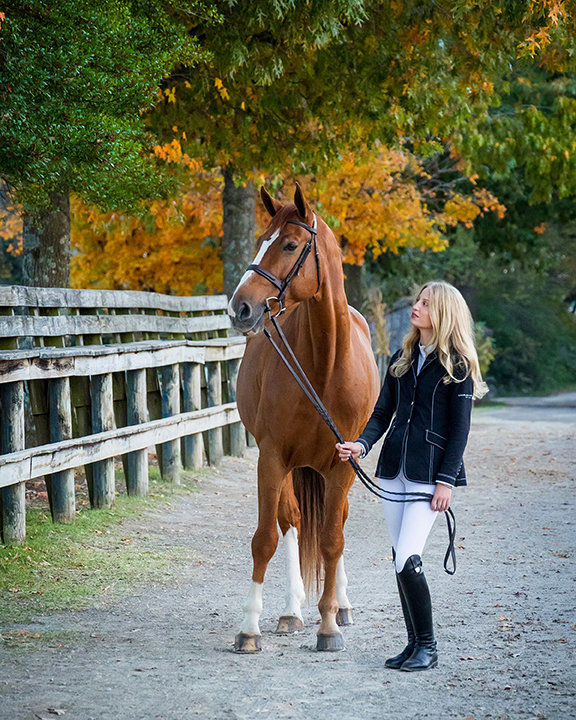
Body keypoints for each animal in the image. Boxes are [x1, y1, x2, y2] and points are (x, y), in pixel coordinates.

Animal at [228, 184, 380, 652]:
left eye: (291, 245)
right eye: (262, 239)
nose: (240, 308)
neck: (324, 366)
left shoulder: (342, 464)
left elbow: (332, 539)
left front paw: (329, 625)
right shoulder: (273, 458)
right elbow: (265, 539)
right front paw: (249, 628)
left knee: (337, 523)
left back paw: (341, 605)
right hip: (289, 468)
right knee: (291, 522)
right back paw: (292, 611)